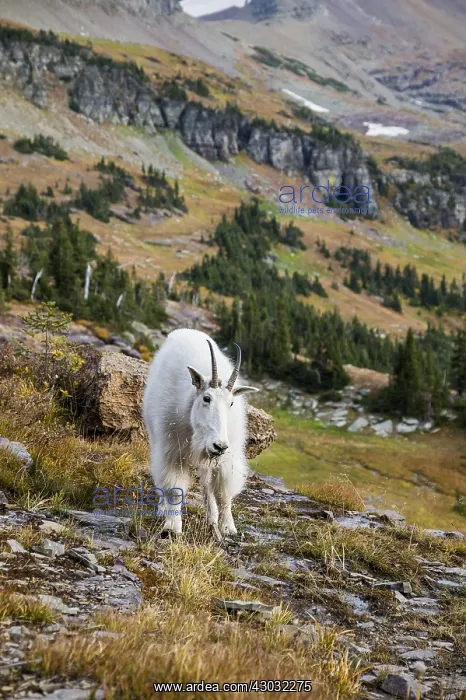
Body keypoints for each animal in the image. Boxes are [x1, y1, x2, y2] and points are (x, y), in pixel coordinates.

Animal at [142, 328, 258, 539]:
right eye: (206, 398)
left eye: (231, 403)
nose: (219, 446)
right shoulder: (172, 451)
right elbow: (174, 489)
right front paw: (172, 527)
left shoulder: (227, 457)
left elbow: (223, 492)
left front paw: (227, 527)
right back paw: (163, 509)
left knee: (206, 484)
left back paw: (212, 519)